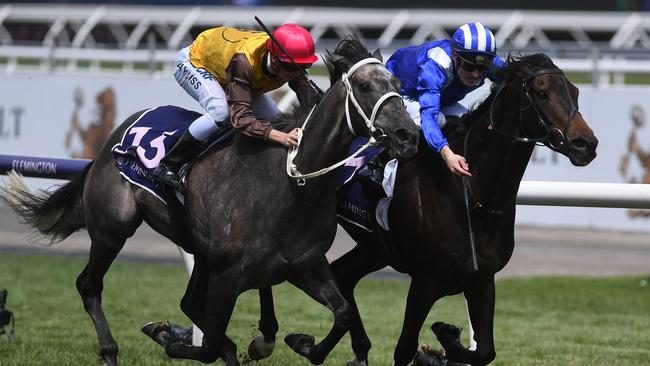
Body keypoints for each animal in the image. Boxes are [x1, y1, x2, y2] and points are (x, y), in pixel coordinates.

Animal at [0, 38, 416, 366]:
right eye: (364, 85)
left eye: (397, 84)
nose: (407, 135)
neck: (293, 187)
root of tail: (114, 137)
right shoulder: (228, 275)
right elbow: (210, 344)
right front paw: (166, 336)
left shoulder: (303, 266)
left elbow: (342, 312)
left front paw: (304, 344)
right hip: (112, 228)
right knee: (89, 285)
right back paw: (110, 351)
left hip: (196, 247)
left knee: (187, 303)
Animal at [251, 53, 596, 364]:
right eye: (542, 93)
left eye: (576, 92)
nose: (586, 144)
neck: (471, 196)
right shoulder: (424, 282)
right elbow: (404, 349)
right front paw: (437, 343)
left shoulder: (482, 279)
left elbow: (484, 351)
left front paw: (445, 339)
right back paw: (266, 338)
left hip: (375, 248)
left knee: (343, 276)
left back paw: (346, 349)